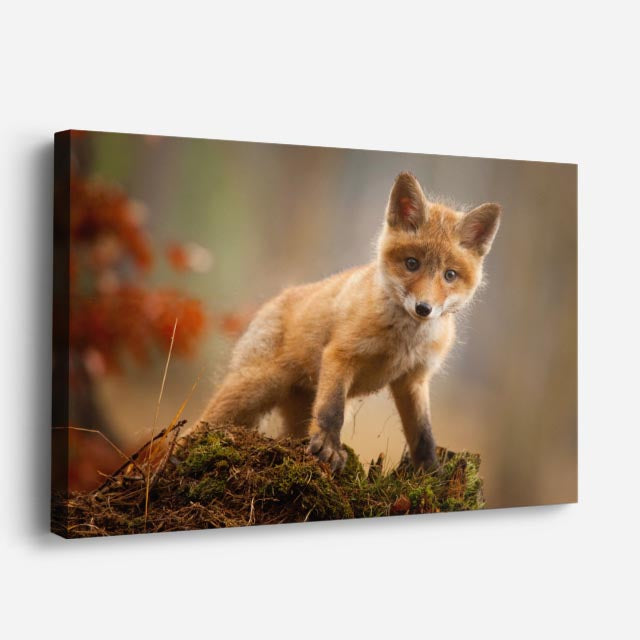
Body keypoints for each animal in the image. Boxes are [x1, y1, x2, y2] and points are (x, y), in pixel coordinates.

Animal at [197, 172, 501, 473]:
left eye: (450, 275)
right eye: (412, 263)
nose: (424, 308)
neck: (403, 341)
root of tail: (275, 299)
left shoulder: (413, 379)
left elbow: (423, 433)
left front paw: (430, 472)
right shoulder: (341, 355)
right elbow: (332, 412)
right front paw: (329, 448)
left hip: (295, 409)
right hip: (254, 389)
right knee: (201, 425)